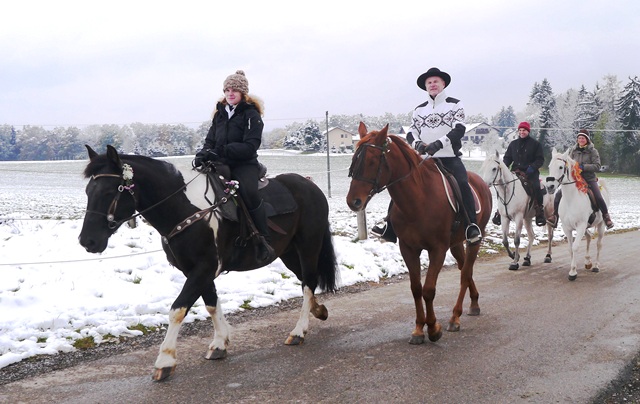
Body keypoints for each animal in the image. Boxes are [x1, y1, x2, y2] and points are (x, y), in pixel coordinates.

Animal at [79, 146, 338, 382]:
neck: (184, 209)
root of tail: (311, 186)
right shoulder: (195, 270)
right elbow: (211, 304)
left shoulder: (204, 268)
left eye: (111, 191)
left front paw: (165, 360)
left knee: (308, 283)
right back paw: (318, 310)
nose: (87, 241)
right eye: (88, 191)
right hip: (288, 253)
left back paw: (298, 331)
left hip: (308, 247)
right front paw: (220, 343)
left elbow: (177, 310)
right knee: (307, 281)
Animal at [348, 123, 492, 344]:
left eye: (372, 161)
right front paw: (418, 329)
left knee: (465, 273)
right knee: (464, 269)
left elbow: (428, 290)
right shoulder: (408, 248)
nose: (353, 201)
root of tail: (480, 181)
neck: (418, 200)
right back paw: (473, 303)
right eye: (354, 159)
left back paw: (455, 317)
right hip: (456, 243)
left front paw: (433, 328)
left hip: (474, 238)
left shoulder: (437, 249)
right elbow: (416, 289)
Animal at [544, 148, 608, 280]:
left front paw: (573, 272)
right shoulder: (567, 228)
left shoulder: (580, 226)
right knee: (588, 237)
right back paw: (588, 261)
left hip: (601, 225)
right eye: (549, 166)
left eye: (561, 167)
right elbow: (570, 248)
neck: (571, 199)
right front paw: (573, 268)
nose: (550, 187)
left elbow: (575, 247)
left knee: (599, 244)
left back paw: (596, 266)